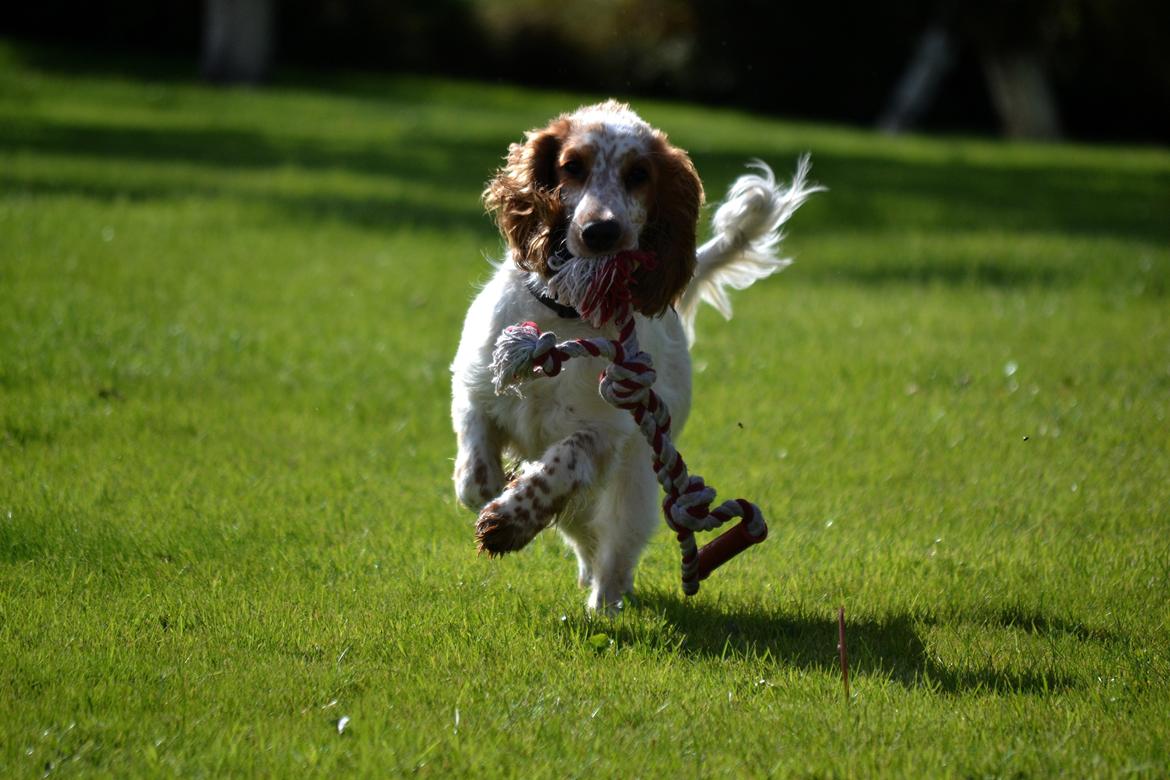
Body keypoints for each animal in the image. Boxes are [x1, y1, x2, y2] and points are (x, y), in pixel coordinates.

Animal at [451, 100, 819, 608]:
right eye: (572, 166)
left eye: (639, 174)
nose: (602, 231)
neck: (568, 318)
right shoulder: (474, 386)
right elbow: (475, 471)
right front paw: (498, 489)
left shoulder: (606, 431)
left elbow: (563, 463)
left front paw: (509, 519)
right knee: (583, 530)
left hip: (637, 481)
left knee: (614, 545)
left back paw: (605, 601)